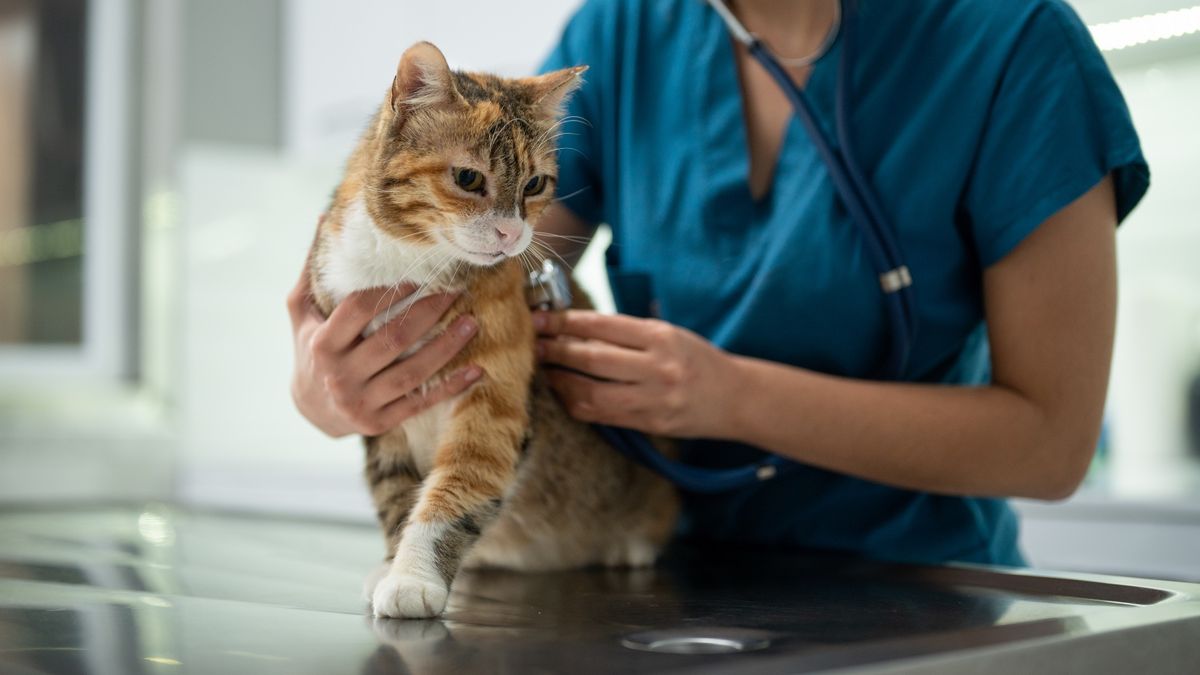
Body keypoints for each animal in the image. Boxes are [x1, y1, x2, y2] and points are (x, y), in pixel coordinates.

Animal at [304, 42, 681, 619]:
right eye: (468, 179)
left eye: (534, 184)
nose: (511, 233)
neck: (409, 270)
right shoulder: (376, 409)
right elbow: (395, 495)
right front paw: (392, 566)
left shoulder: (492, 403)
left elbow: (455, 490)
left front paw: (413, 578)